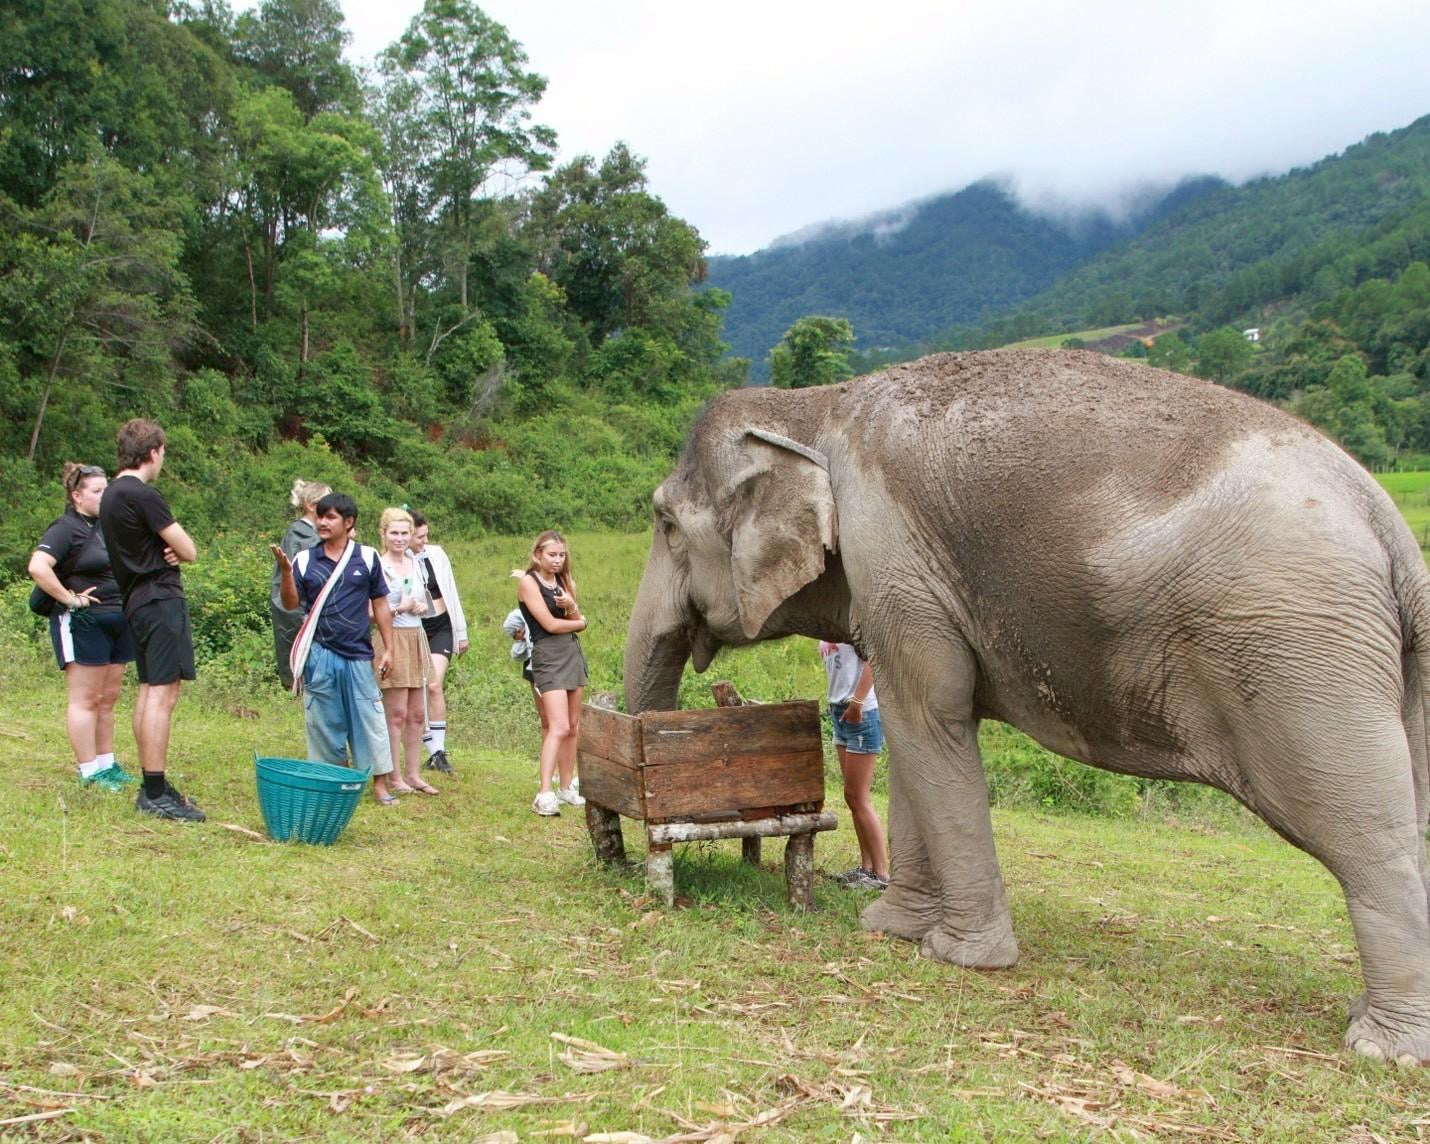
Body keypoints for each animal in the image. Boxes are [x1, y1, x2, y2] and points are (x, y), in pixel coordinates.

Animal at [622, 348, 1430, 1064]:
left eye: (664, 523)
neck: (815, 404)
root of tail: (1390, 526)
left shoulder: (893, 553)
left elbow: (929, 718)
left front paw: (959, 956)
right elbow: (919, 736)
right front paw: (891, 929)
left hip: (1301, 659)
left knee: (1364, 837)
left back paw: (1383, 1048)